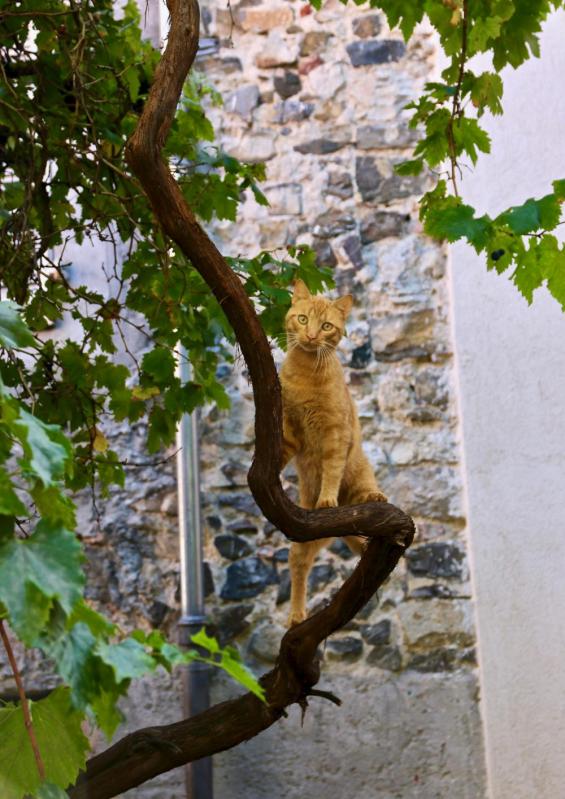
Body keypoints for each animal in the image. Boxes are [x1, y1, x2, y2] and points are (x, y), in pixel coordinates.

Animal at [280, 278, 386, 628]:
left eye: (326, 326)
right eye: (303, 320)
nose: (312, 336)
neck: (306, 372)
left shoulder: (336, 435)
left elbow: (332, 468)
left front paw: (328, 498)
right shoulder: (290, 430)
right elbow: (280, 452)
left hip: (359, 477)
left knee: (364, 491)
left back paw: (371, 496)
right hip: (306, 538)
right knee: (298, 564)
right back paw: (297, 614)